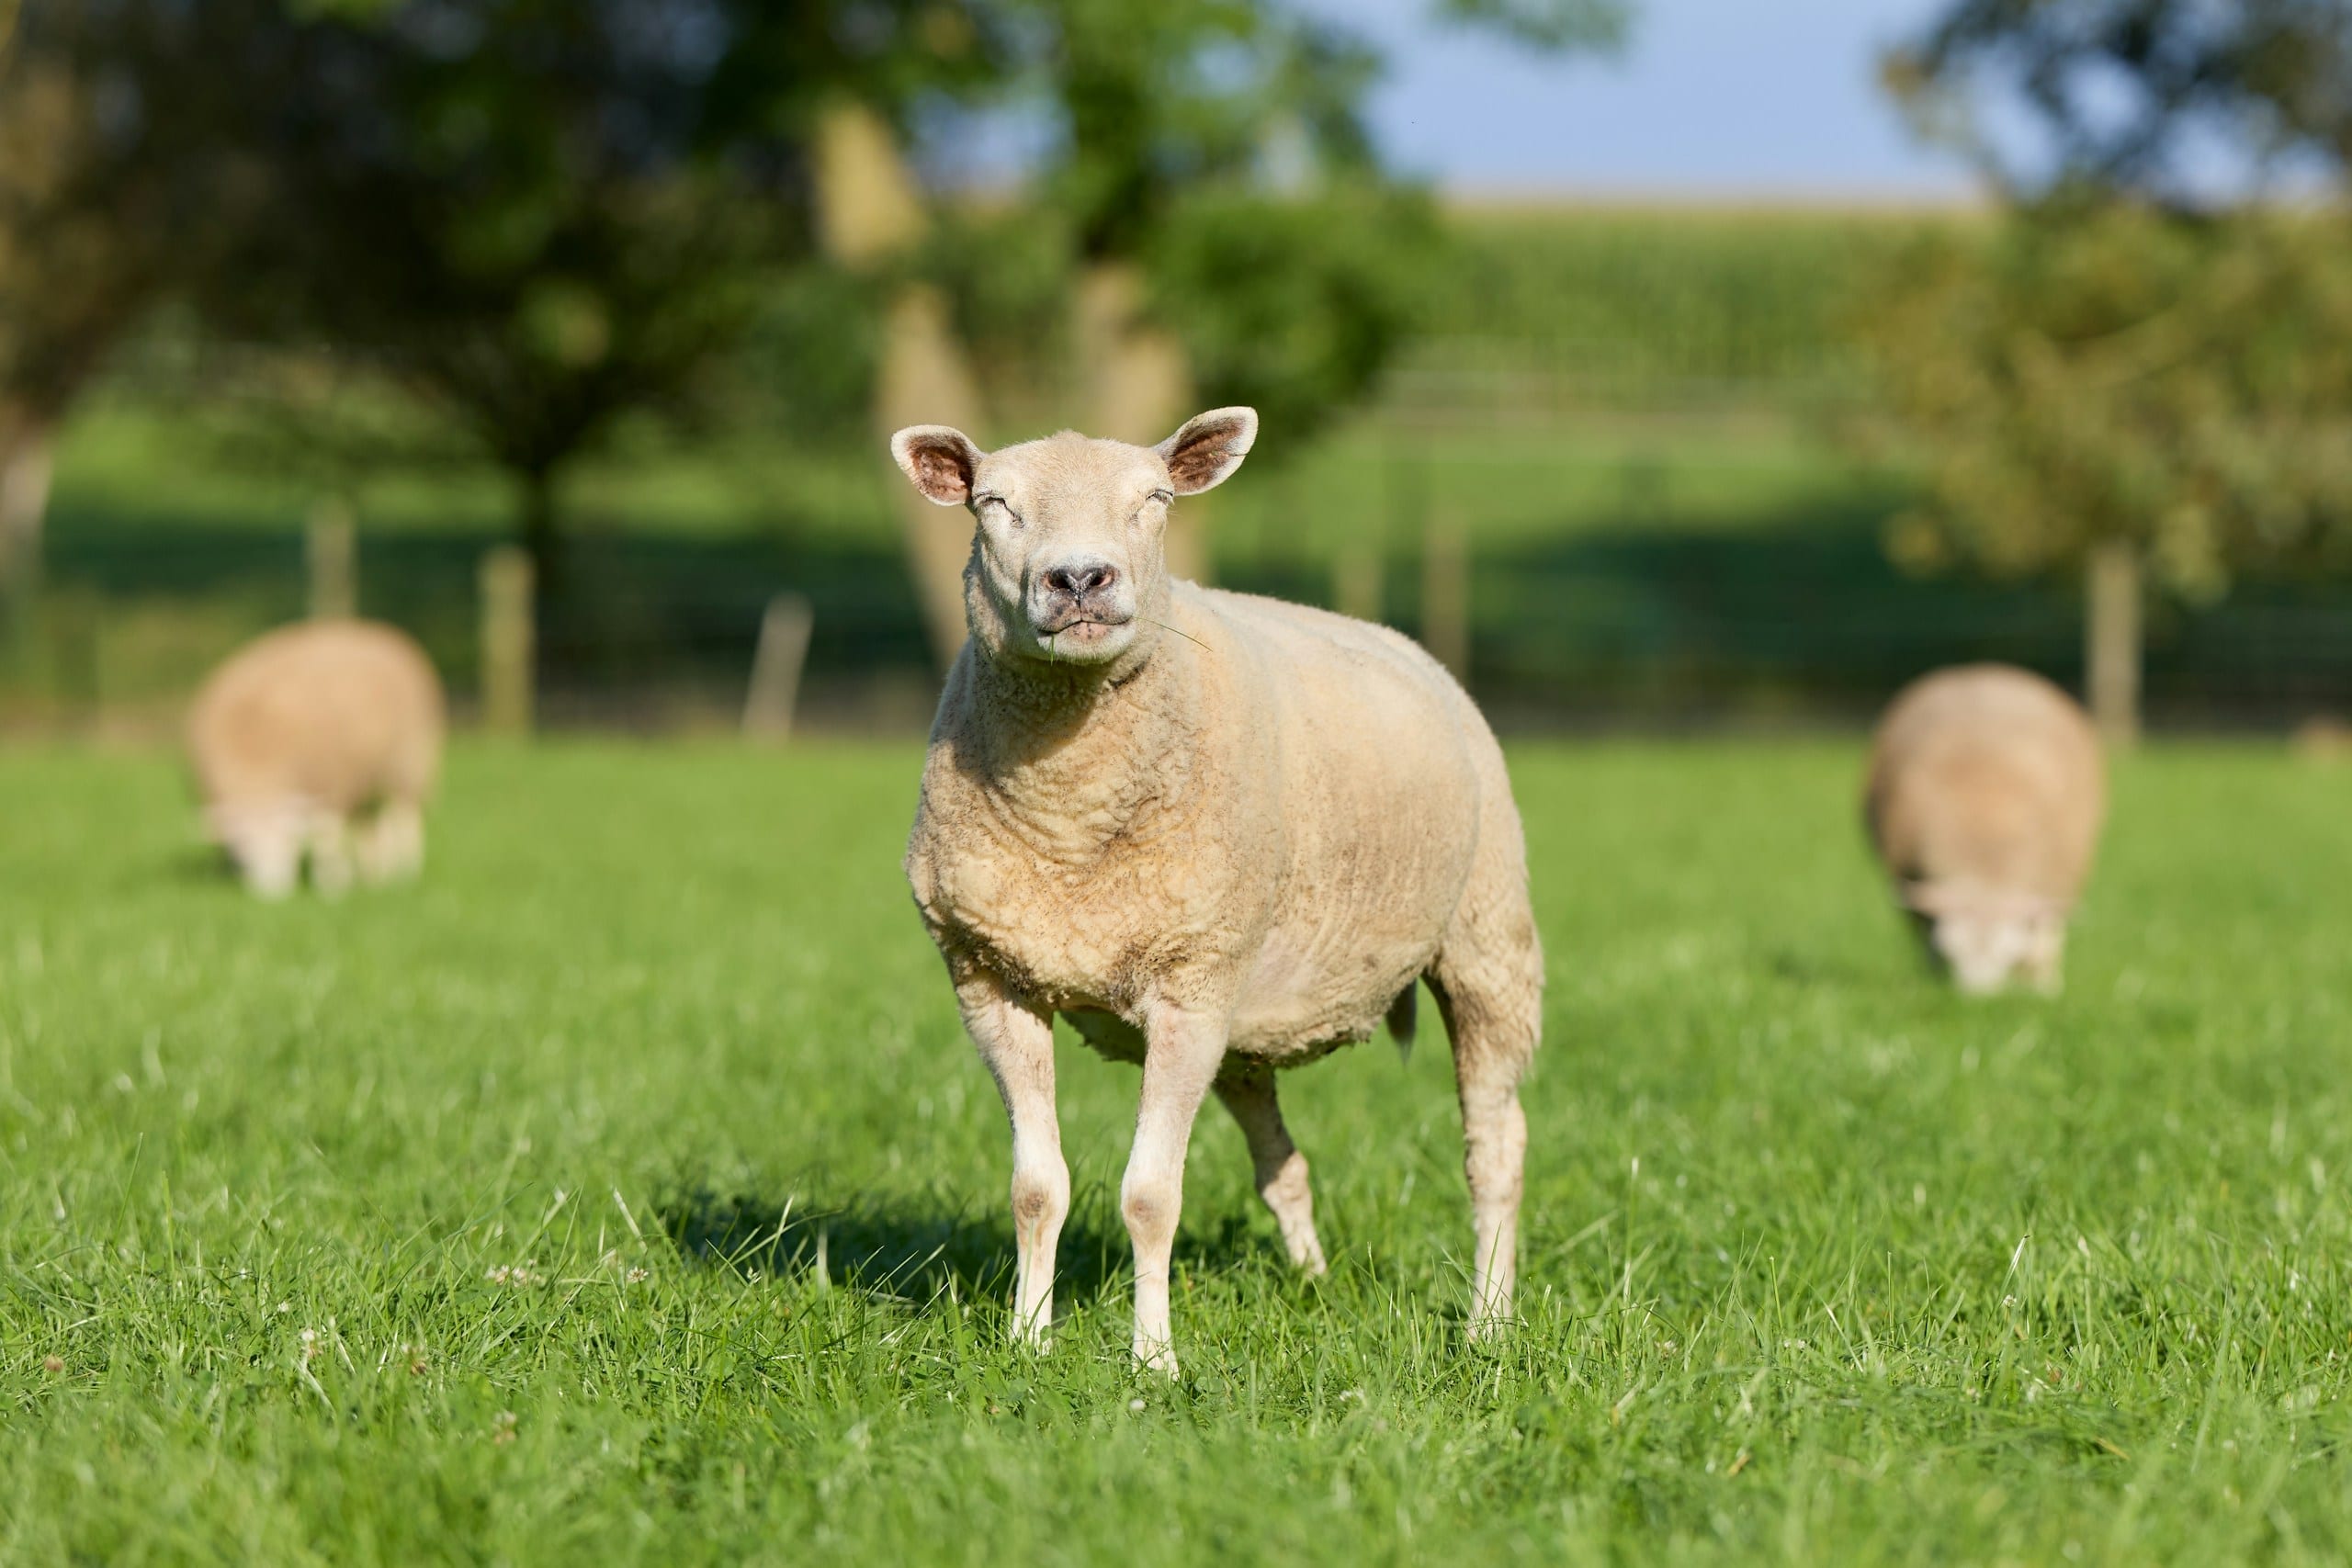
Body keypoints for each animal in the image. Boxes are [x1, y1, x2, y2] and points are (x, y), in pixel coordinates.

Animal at [187, 619, 445, 898]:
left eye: (289, 837)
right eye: (244, 843)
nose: (272, 893)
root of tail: (375, 629)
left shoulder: (329, 785)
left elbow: (326, 837)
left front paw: (332, 884)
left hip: (408, 762)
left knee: (404, 816)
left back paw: (405, 870)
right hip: (367, 778)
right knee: (369, 825)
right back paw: (374, 874)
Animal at [891, 408, 1543, 1376]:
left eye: (1156, 498)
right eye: (994, 503)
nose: (1079, 578)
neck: (1071, 822)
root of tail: (1402, 640)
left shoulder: (1188, 985)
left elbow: (1150, 1196)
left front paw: (1153, 1362)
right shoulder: (992, 978)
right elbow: (1035, 1188)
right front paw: (1027, 1342)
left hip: (1485, 937)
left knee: (1496, 1149)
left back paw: (1488, 1321)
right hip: (1243, 1020)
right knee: (1284, 1162)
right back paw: (1313, 1281)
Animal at [1863, 663, 2106, 995]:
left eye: (2007, 953)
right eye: (1952, 951)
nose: (1978, 1000)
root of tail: (1979, 669)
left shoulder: (2057, 880)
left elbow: (2043, 941)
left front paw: (2043, 989)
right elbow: (1925, 936)